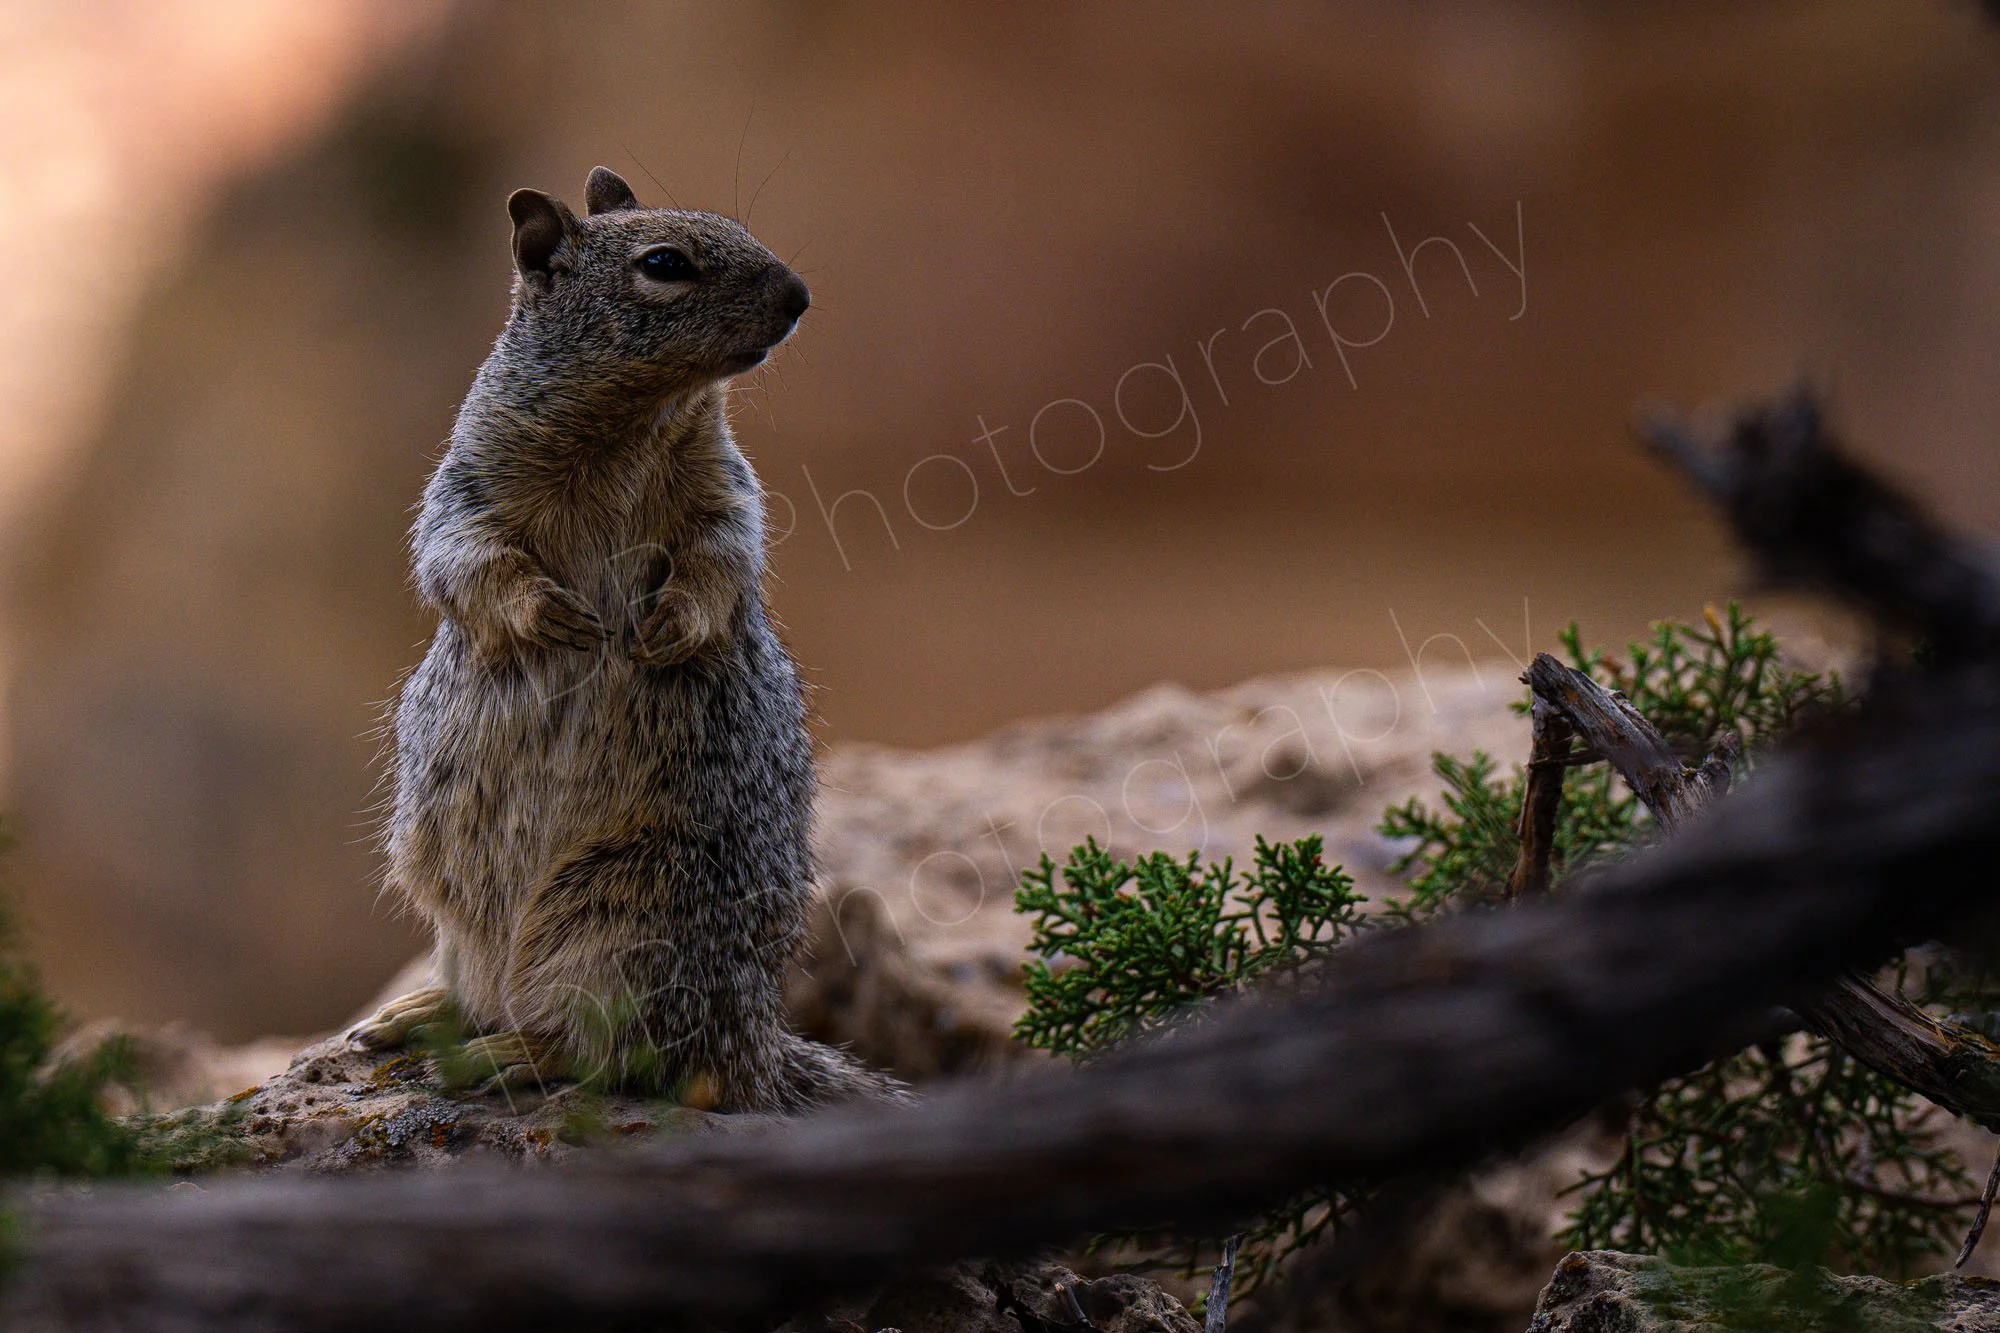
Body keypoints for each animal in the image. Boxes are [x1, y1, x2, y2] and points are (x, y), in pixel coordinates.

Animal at [348, 166, 902, 1113]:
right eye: (665, 264)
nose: (799, 295)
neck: (636, 422)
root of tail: (756, 1043)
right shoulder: (466, 488)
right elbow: (466, 559)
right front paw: (551, 617)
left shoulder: (727, 490)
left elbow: (722, 557)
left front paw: (662, 628)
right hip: (468, 911)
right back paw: (428, 1014)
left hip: (627, 917)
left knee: (620, 1053)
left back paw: (507, 1052)